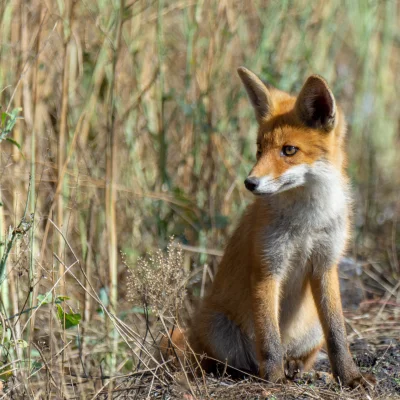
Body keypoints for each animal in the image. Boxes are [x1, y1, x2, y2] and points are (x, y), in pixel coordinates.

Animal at [161, 68, 374, 388]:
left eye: (289, 150)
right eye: (259, 150)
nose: (250, 183)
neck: (306, 224)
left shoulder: (325, 264)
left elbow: (337, 335)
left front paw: (349, 376)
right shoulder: (267, 266)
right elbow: (269, 337)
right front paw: (273, 379)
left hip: (312, 328)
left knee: (302, 354)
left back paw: (298, 368)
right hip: (218, 330)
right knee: (227, 362)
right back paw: (251, 372)